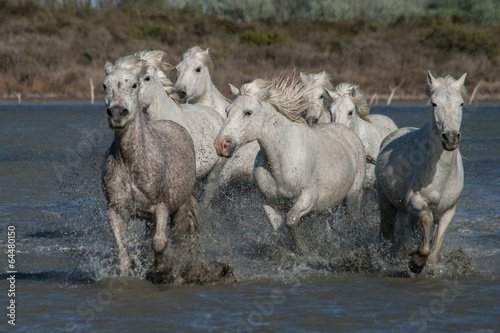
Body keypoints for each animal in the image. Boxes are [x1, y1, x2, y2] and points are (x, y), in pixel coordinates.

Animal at [213, 71, 366, 250]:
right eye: (227, 111)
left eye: (248, 112)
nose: (221, 145)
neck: (282, 159)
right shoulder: (271, 203)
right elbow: (278, 226)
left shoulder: (308, 197)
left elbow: (291, 220)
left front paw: (303, 249)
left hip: (353, 197)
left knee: (352, 223)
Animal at [376, 70, 466, 272]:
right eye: (434, 103)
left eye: (461, 103)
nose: (450, 138)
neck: (441, 173)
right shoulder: (414, 201)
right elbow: (427, 217)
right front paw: (416, 260)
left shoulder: (448, 212)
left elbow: (434, 252)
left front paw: (424, 264)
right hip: (386, 204)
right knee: (387, 233)